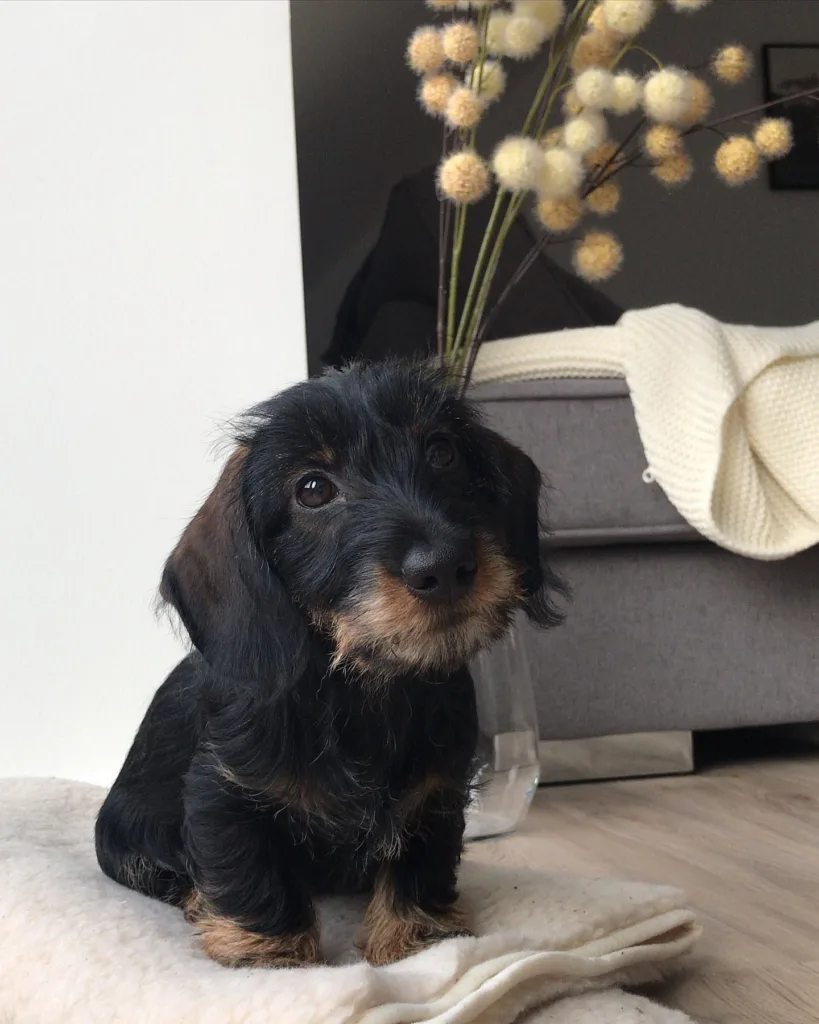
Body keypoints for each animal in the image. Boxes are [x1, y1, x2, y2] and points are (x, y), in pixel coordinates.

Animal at [92, 366, 561, 966]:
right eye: (312, 489)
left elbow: (420, 869)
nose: (445, 567)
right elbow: (252, 876)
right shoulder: (224, 793)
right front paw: (270, 954)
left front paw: (414, 940)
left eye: (442, 452)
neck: (361, 692)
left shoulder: (435, 795)